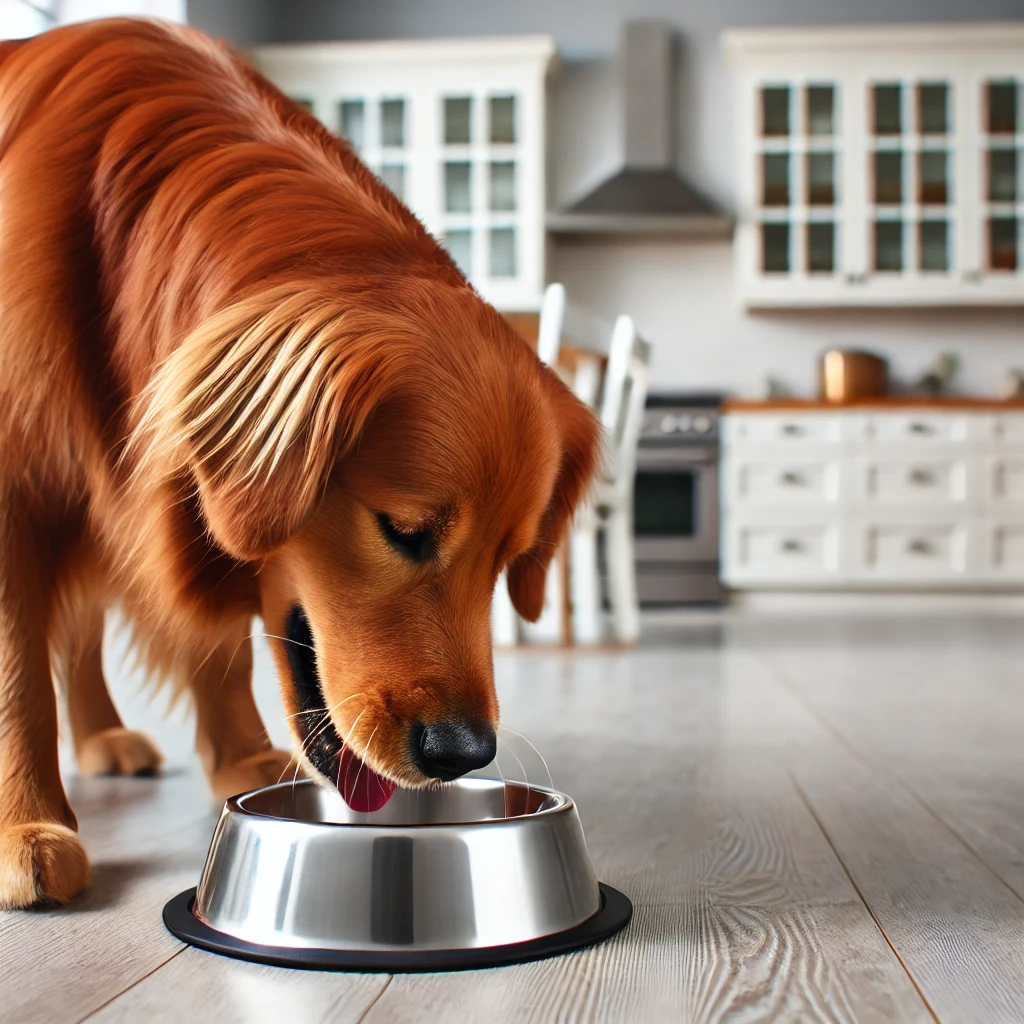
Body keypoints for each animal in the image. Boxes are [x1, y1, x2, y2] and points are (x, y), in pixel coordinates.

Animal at [0, 18, 598, 913]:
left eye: (508, 560)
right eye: (404, 530)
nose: (464, 754)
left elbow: (209, 643)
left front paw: (239, 755)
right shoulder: (16, 488)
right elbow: (16, 668)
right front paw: (24, 829)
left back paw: (104, 733)